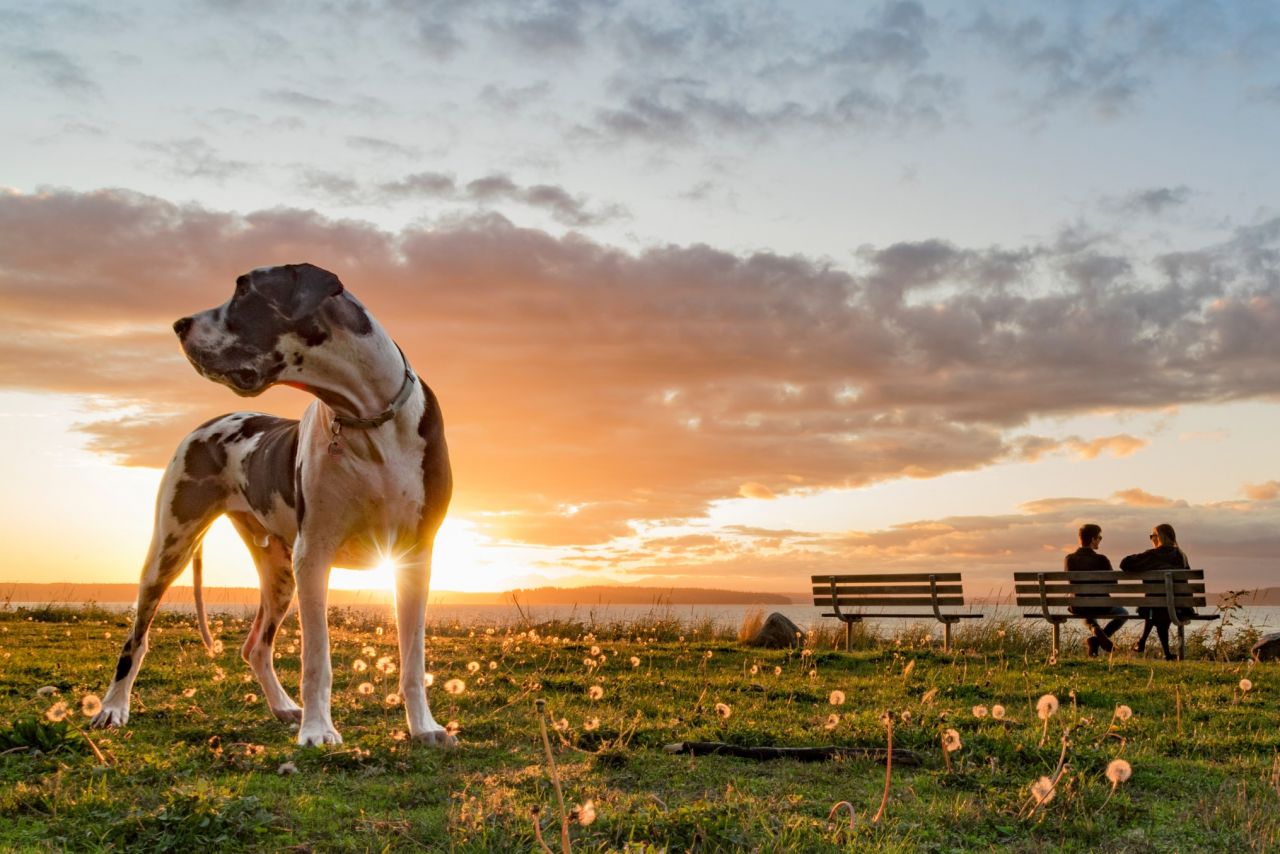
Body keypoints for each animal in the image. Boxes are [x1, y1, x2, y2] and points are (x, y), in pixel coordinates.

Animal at [88, 262, 455, 747]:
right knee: (137, 639)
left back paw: (282, 706)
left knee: (255, 646)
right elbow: (317, 657)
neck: (368, 416)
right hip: (171, 546)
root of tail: (209, 422)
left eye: (244, 291)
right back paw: (113, 708)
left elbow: (413, 658)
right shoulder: (313, 554)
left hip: (278, 573)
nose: (179, 324)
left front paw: (424, 727)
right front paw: (317, 730)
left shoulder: (414, 554)